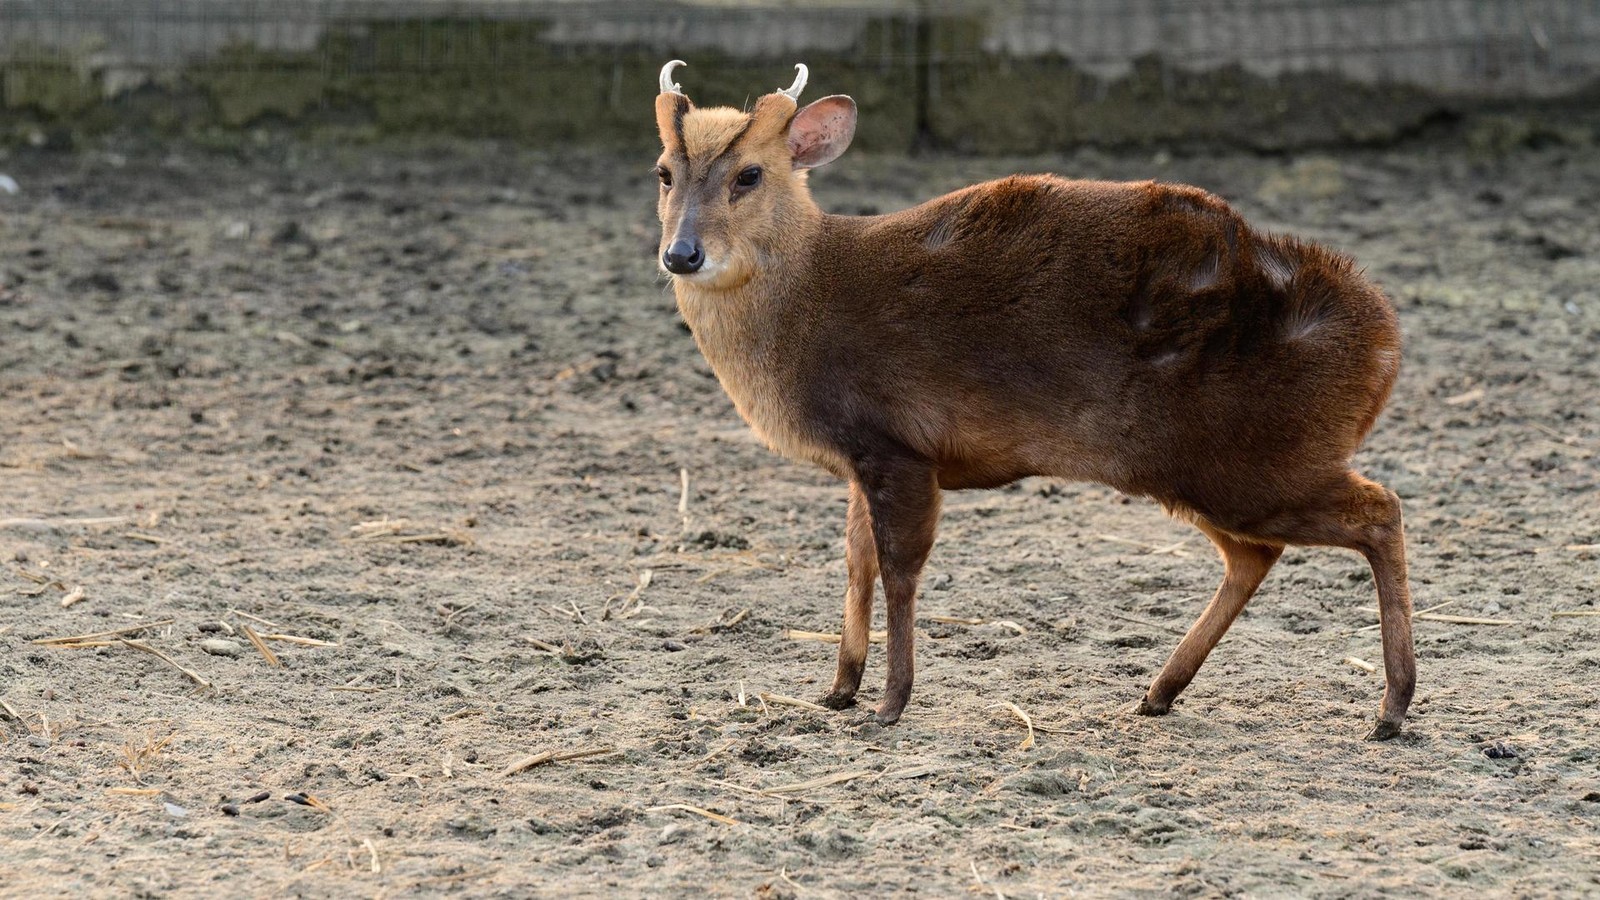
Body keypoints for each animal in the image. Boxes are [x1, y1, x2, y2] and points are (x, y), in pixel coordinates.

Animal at [651, 61, 1415, 741]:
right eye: (664, 172)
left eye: (749, 174)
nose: (682, 254)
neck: (804, 309)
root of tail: (1383, 344)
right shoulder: (861, 458)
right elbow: (855, 561)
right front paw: (839, 688)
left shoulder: (898, 443)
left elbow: (899, 568)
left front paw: (891, 703)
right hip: (1207, 469)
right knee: (1257, 554)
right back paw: (1159, 692)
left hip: (1252, 459)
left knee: (1379, 511)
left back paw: (1392, 707)